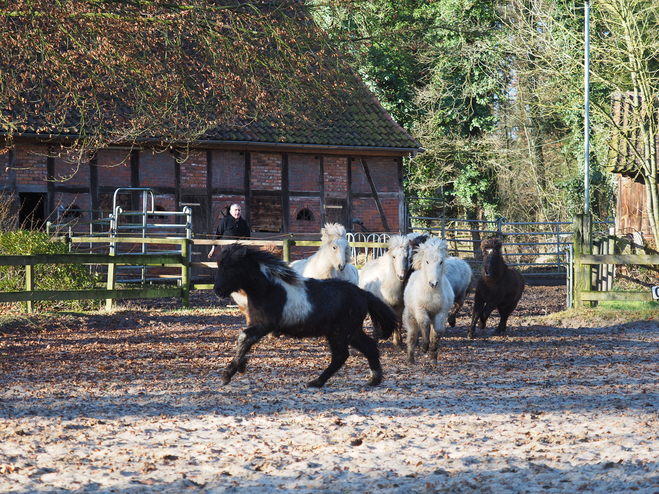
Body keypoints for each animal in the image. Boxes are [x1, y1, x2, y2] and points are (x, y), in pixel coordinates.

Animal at [213, 245, 398, 388]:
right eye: (219, 265)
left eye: (229, 267)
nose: (217, 291)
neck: (269, 289)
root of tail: (362, 293)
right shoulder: (255, 323)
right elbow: (244, 342)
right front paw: (232, 371)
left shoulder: (266, 325)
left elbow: (244, 337)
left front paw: (236, 369)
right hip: (351, 332)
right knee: (369, 347)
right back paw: (374, 380)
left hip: (341, 332)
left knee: (341, 356)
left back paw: (316, 382)